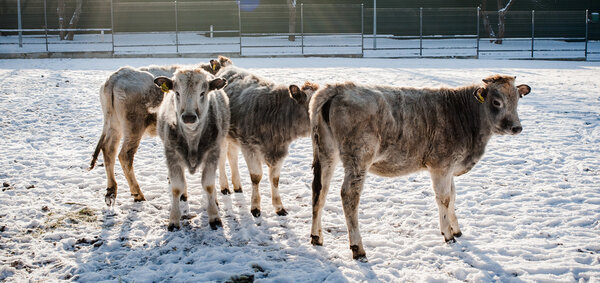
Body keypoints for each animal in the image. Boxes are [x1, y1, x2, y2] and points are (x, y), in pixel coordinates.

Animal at [91, 60, 225, 206]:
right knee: (125, 155)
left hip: (114, 125)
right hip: (133, 127)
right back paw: (138, 194)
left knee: (109, 150)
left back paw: (111, 191)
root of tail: (116, 76)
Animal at [155, 68, 230, 231]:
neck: (192, 138)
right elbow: (177, 187)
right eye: (177, 92)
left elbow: (208, 185)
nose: (189, 117)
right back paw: (184, 195)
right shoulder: (171, 155)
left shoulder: (213, 153)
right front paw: (174, 220)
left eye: (202, 93)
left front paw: (214, 216)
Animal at [216, 57, 318, 217]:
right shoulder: (249, 147)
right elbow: (256, 177)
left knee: (232, 156)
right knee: (221, 159)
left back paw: (237, 186)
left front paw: (279, 206)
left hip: (233, 137)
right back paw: (224, 186)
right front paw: (255, 207)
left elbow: (275, 179)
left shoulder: (280, 152)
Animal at [310, 74, 528, 260]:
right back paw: (358, 248)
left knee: (320, 189)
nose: (516, 127)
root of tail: (339, 88)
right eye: (497, 102)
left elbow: (453, 196)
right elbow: (444, 198)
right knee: (349, 195)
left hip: (326, 152)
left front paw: (456, 229)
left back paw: (316, 237)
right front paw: (448, 234)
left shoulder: (450, 167)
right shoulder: (441, 165)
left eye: (518, 99)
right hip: (358, 157)